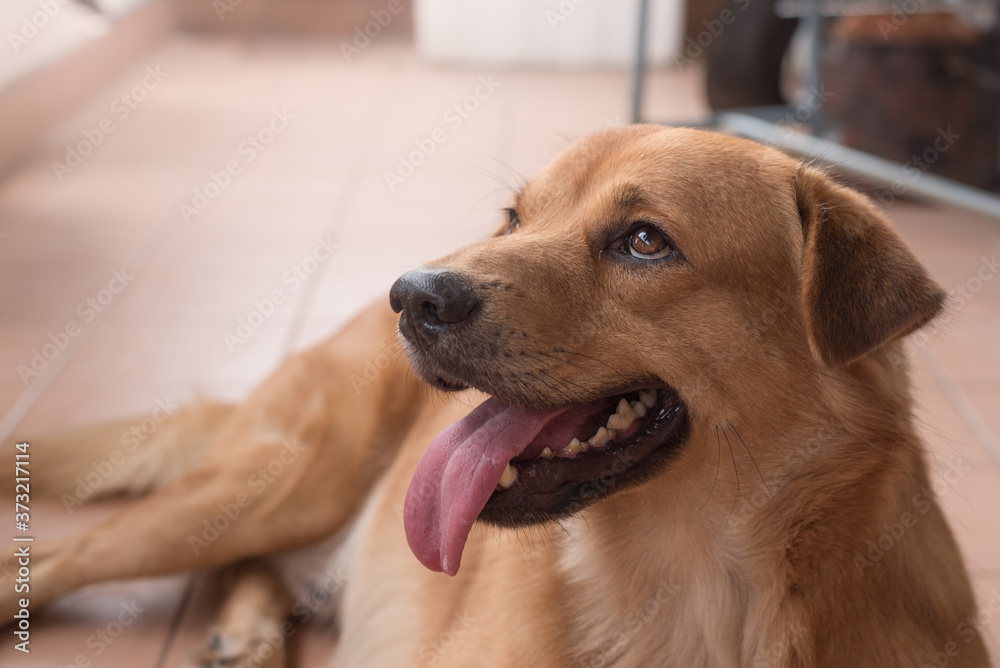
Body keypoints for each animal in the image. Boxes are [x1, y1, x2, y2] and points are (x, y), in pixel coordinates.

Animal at [0, 126, 988, 668]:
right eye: (514, 219)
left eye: (644, 240)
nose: (412, 296)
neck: (697, 594)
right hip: (276, 489)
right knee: (62, 559)